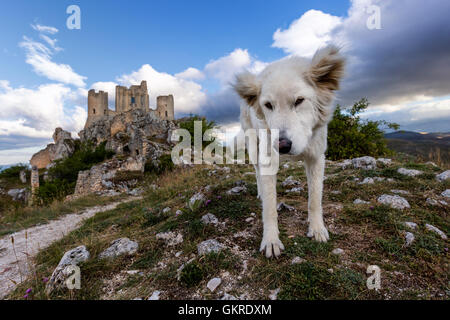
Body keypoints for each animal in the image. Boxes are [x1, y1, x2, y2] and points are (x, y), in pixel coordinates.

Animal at [232, 45, 344, 258]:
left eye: (299, 101)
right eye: (268, 105)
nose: (282, 145)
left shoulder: (316, 157)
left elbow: (315, 198)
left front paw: (317, 229)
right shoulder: (268, 158)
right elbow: (269, 208)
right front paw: (270, 240)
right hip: (253, 146)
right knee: (257, 172)